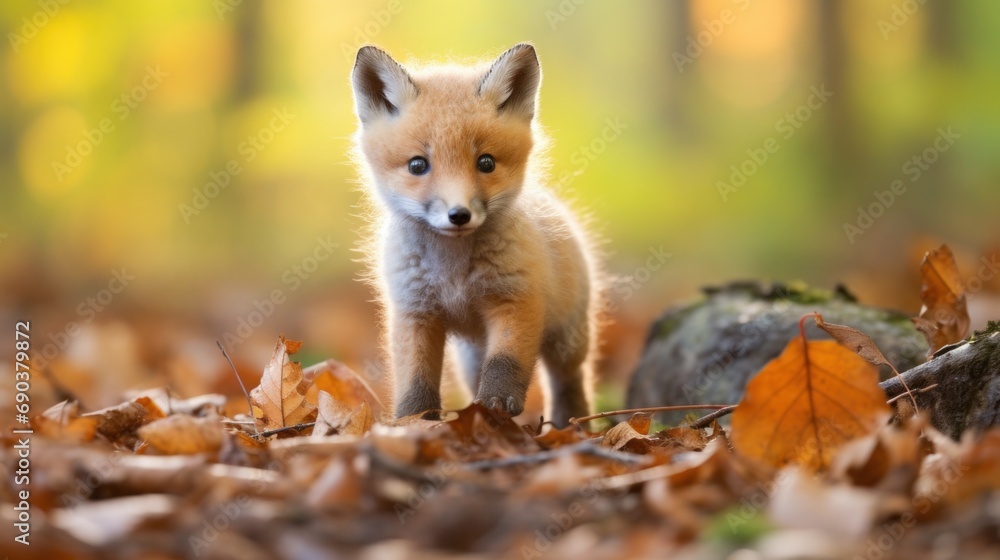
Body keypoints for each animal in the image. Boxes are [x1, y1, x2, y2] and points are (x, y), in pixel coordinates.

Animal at [350, 43, 601, 426]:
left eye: (486, 163)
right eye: (417, 165)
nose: (458, 215)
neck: (454, 273)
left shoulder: (515, 299)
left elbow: (506, 364)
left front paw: (496, 404)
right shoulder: (415, 312)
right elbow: (415, 379)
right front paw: (414, 422)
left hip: (567, 342)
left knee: (568, 380)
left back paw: (569, 423)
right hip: (470, 356)